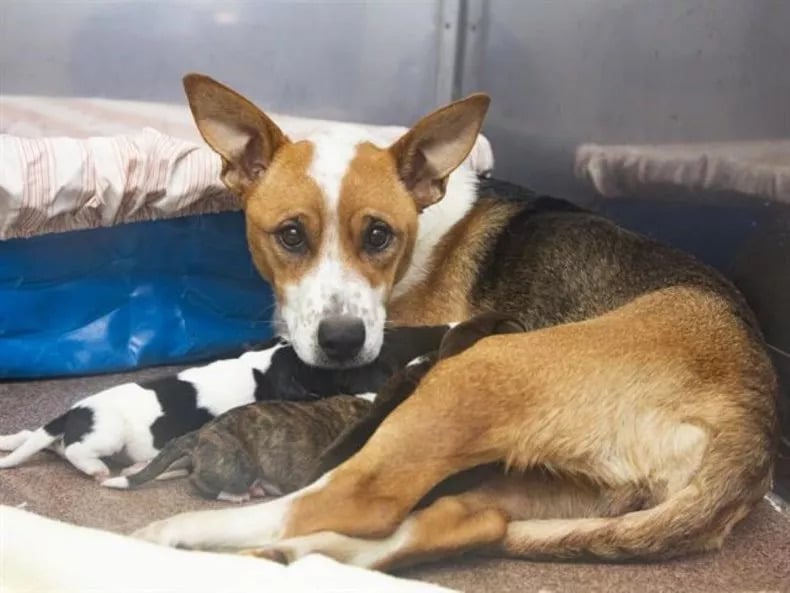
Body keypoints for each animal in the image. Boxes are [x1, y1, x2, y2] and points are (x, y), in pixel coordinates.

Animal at [0, 324, 452, 480]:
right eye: (320, 372)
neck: (261, 365)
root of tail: (70, 416)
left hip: (55, 435)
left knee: (32, 435)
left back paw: (11, 440)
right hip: (105, 435)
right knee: (79, 452)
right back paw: (95, 468)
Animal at [131, 73, 780, 568]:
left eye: (378, 235)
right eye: (291, 235)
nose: (342, 342)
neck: (423, 233)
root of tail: (754, 427)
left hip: (474, 376)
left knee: (359, 497)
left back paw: (175, 536)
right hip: (551, 484)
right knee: (461, 521)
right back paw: (287, 556)